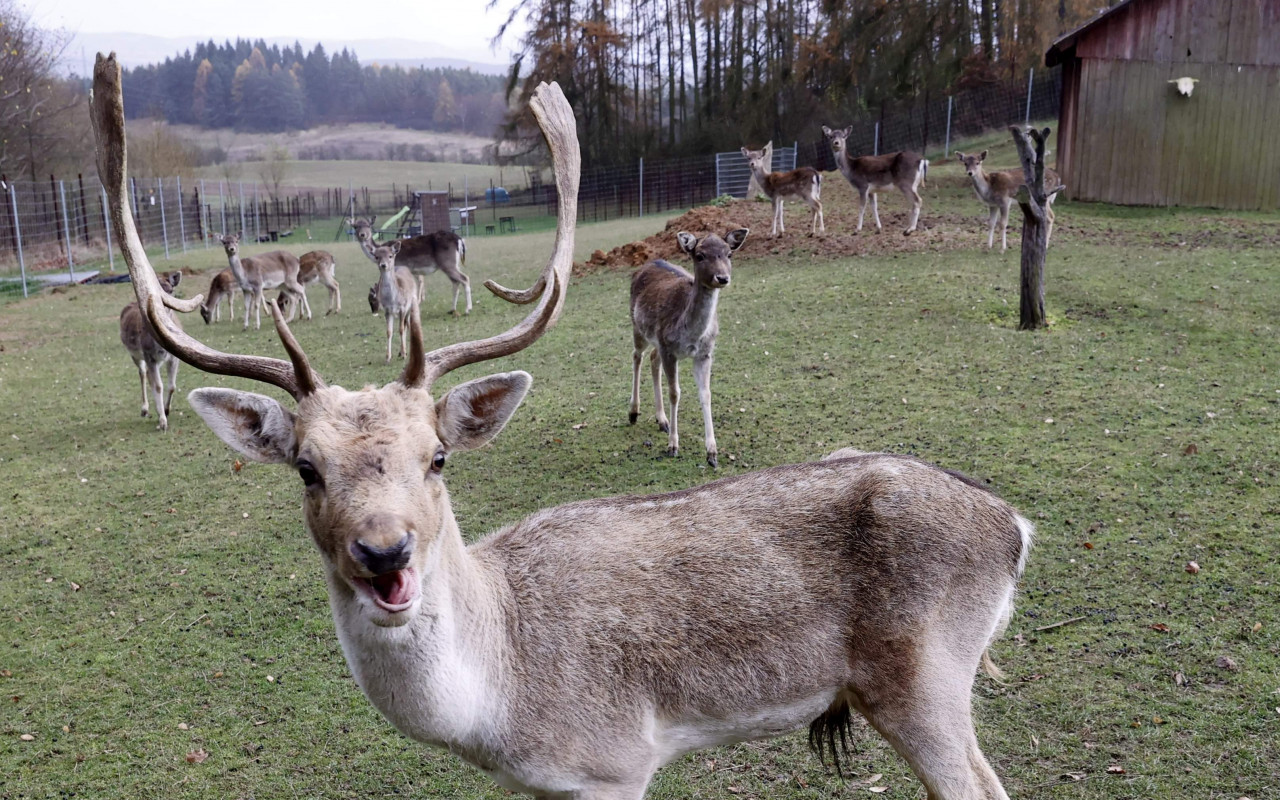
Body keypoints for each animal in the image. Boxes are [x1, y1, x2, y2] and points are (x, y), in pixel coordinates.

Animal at [120, 268, 185, 430]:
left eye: (170, 290)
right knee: (143, 373)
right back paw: (144, 410)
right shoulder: (149, 355)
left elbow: (172, 385)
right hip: (135, 355)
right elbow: (158, 386)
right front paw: (162, 422)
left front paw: (166, 410)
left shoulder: (174, 357)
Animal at [624, 227, 747, 465]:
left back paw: (662, 420)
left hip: (657, 340)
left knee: (653, 358)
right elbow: (675, 392)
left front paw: (712, 453)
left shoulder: (705, 353)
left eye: (729, 254)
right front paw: (673, 446)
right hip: (638, 327)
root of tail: (647, 263)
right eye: (699, 255)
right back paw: (633, 413)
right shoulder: (670, 350)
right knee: (637, 356)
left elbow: (706, 393)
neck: (691, 335)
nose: (722, 277)